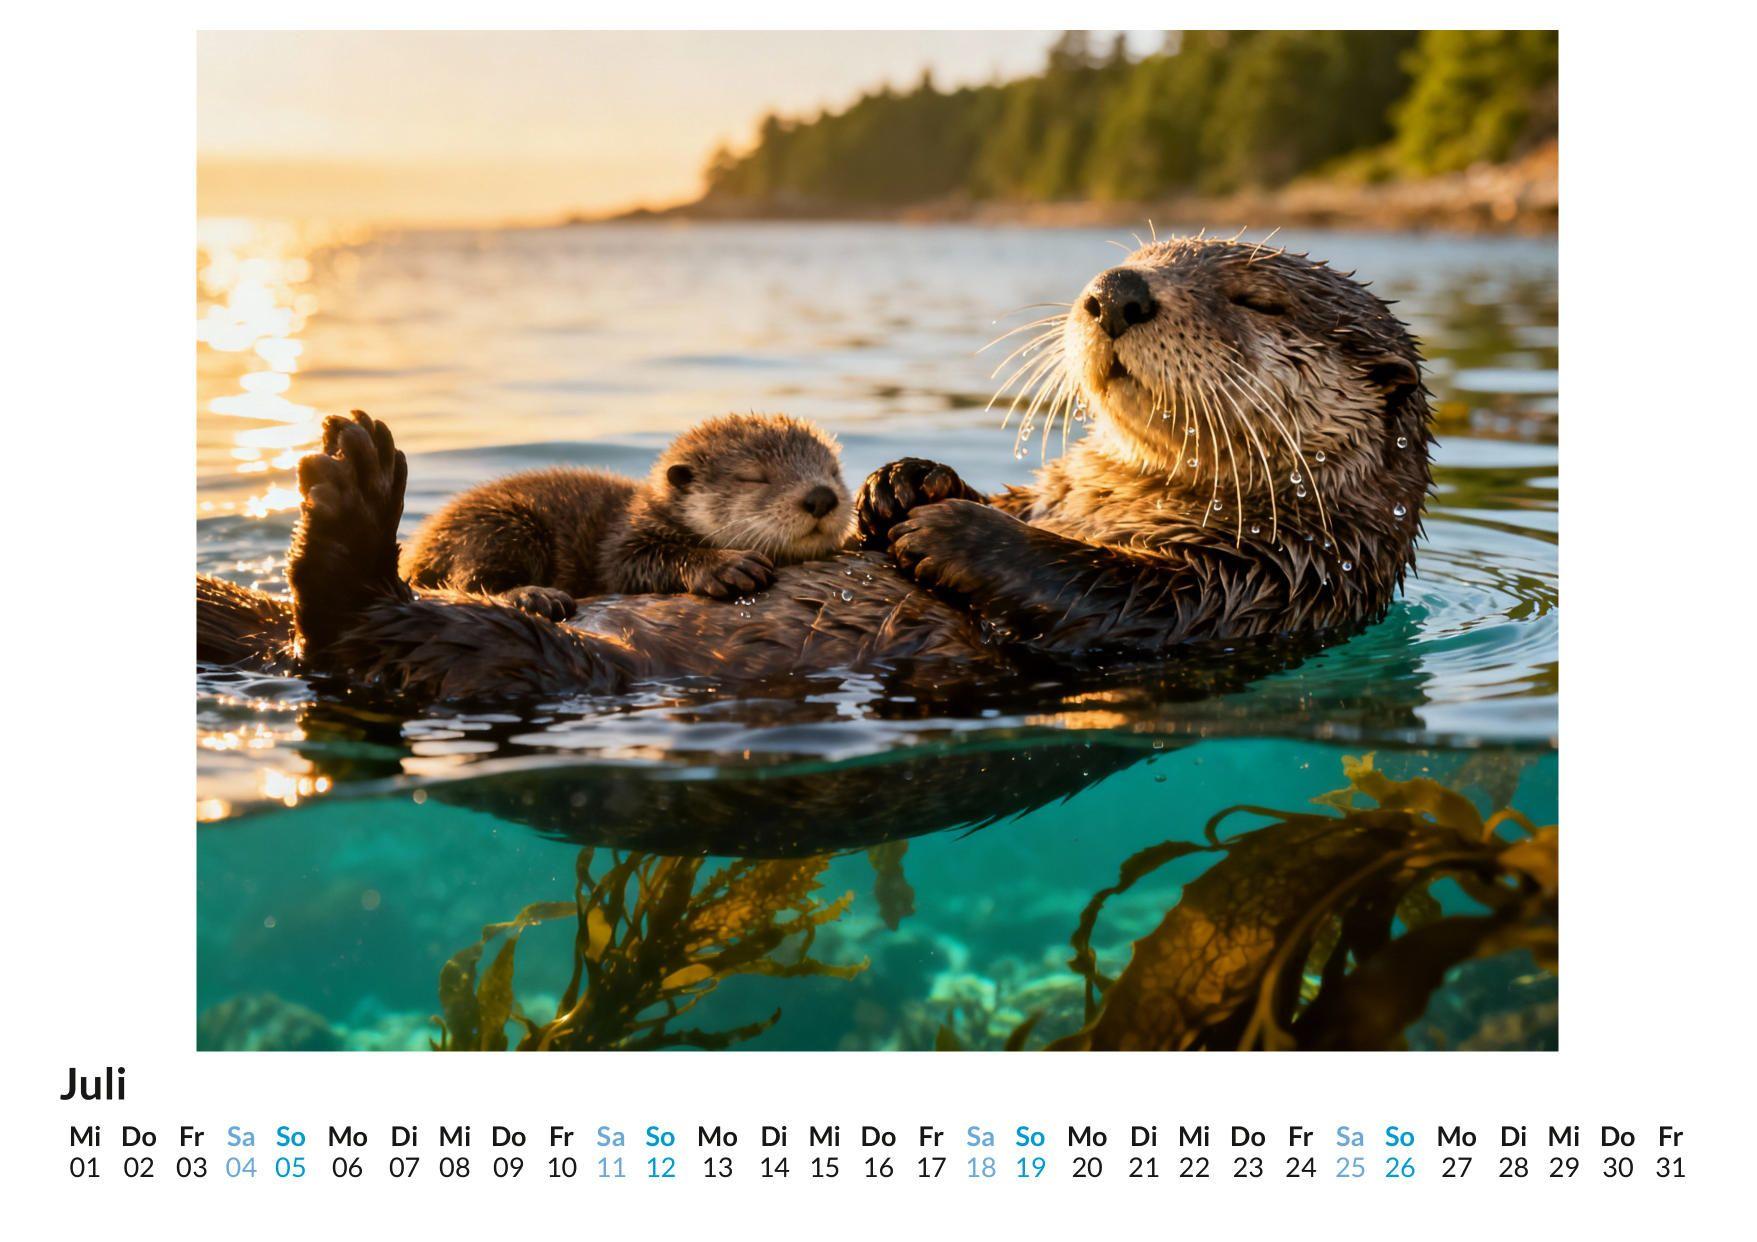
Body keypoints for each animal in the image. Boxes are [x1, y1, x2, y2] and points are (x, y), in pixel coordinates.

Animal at [399, 414, 851, 620]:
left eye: (833, 471)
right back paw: (534, 595)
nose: (821, 496)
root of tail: (418, 551)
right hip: (499, 527)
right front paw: (727, 565)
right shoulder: (623, 540)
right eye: (755, 477)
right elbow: (633, 563)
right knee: (469, 579)